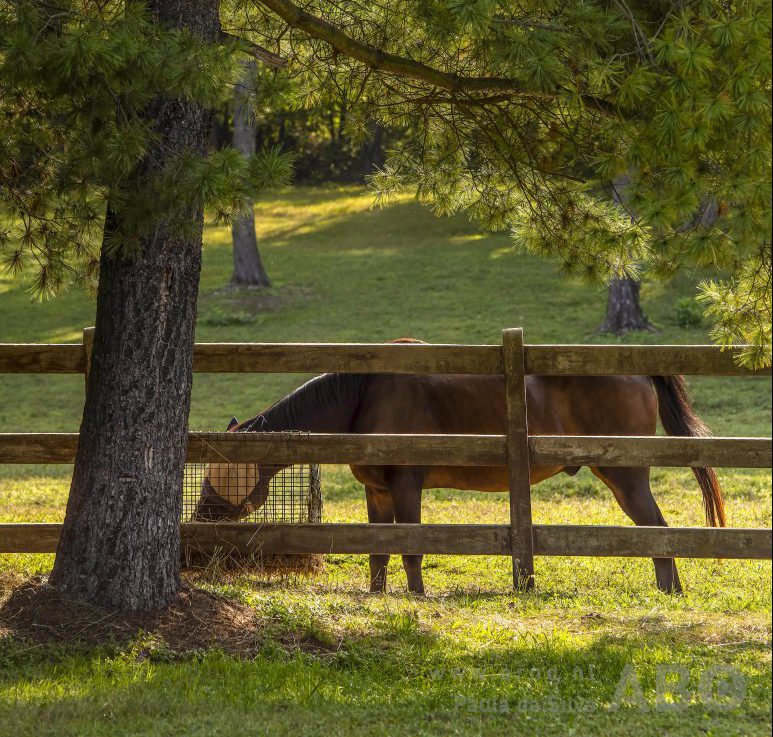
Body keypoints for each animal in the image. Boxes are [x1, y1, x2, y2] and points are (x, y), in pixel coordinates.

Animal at [195, 366, 725, 595]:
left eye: (212, 473)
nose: (200, 519)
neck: (364, 396)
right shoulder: (377, 491)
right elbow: (378, 551)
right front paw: (377, 595)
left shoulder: (405, 486)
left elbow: (410, 547)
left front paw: (417, 597)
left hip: (626, 477)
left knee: (657, 529)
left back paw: (669, 589)